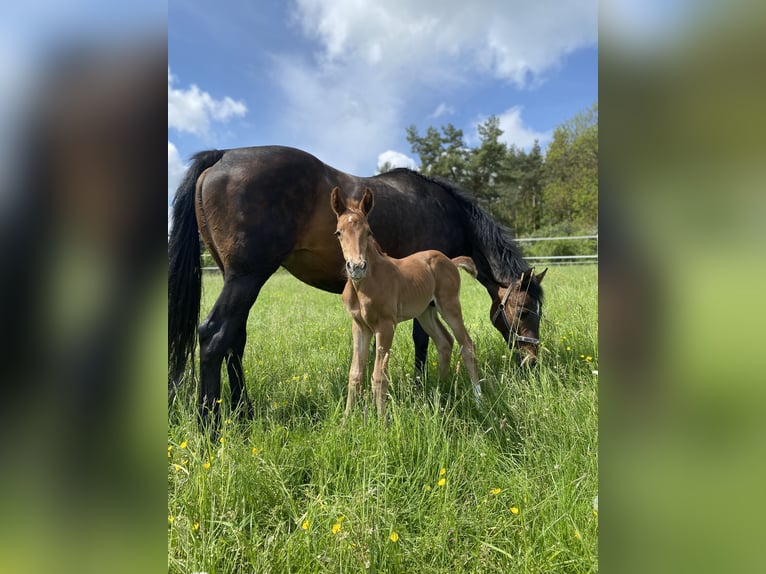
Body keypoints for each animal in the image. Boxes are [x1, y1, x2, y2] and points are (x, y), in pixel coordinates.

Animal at [332, 187, 484, 420]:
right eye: (338, 233)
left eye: (369, 232)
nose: (356, 267)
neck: (364, 285)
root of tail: (450, 261)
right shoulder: (359, 326)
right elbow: (355, 374)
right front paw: (346, 420)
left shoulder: (386, 325)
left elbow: (379, 377)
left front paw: (381, 422)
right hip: (426, 312)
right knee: (444, 342)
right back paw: (441, 390)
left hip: (449, 306)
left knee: (466, 344)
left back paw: (478, 399)